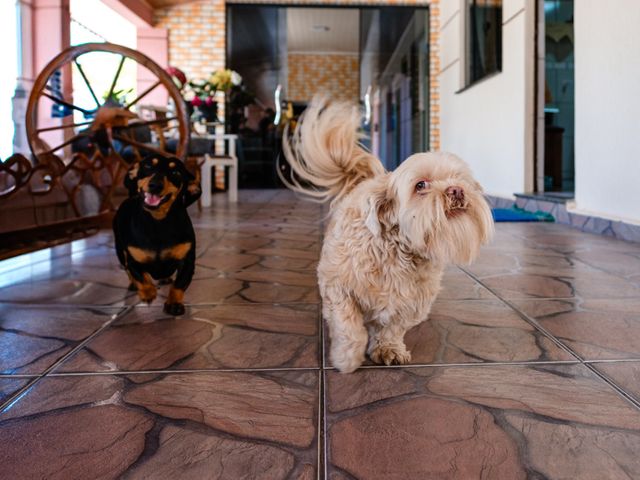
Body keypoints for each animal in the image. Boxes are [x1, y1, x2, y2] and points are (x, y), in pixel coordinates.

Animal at [282, 97, 496, 374]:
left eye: (461, 180)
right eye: (420, 185)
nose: (457, 190)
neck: (397, 251)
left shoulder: (411, 303)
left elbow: (393, 328)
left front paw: (388, 348)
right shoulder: (337, 287)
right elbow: (349, 325)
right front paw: (347, 356)